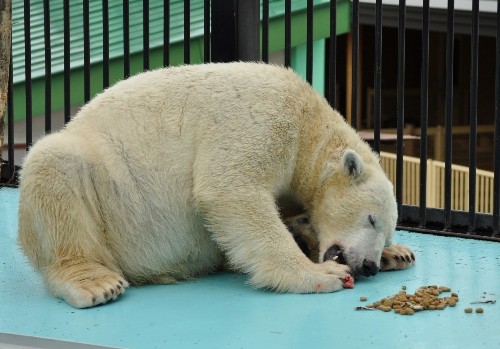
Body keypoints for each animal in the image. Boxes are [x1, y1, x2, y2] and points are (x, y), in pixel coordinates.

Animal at [18, 62, 410, 308]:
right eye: (371, 218)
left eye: (387, 229)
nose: (369, 265)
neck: (309, 120)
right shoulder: (264, 118)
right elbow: (232, 190)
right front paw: (322, 273)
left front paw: (396, 253)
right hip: (108, 201)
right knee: (55, 163)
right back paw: (94, 282)